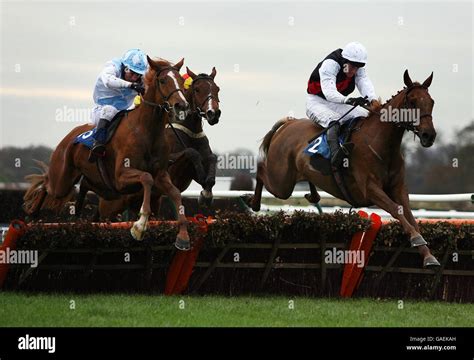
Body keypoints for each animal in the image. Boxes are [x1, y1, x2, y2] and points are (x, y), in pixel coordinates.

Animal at [23, 57, 193, 252]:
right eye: (163, 80)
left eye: (180, 80)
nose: (182, 105)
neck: (147, 131)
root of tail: (69, 137)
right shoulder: (121, 176)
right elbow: (146, 178)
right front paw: (139, 226)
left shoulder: (161, 175)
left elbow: (175, 193)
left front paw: (183, 237)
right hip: (63, 181)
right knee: (46, 184)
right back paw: (32, 213)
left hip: (105, 188)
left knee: (84, 185)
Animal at [91, 66, 221, 221]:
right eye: (197, 89)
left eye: (217, 88)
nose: (213, 113)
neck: (190, 132)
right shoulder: (173, 168)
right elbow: (192, 152)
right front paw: (203, 184)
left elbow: (211, 159)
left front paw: (206, 194)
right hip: (110, 208)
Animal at [248, 69, 440, 268]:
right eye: (412, 102)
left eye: (431, 101)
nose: (429, 135)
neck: (381, 144)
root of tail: (288, 124)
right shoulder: (370, 189)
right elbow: (396, 210)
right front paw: (417, 240)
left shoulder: (399, 188)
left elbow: (410, 217)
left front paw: (428, 255)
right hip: (281, 183)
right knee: (261, 170)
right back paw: (253, 202)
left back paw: (312, 195)